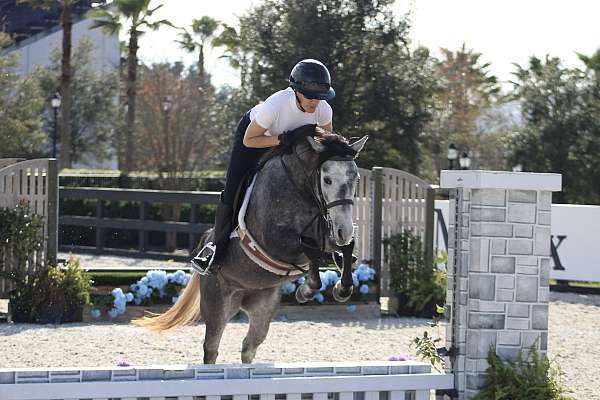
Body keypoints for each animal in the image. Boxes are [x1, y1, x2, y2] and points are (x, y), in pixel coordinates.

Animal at [135, 134, 368, 362]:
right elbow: (308, 248)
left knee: (249, 347)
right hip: (217, 304)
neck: (301, 189)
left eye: (355, 180)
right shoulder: (277, 243)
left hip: (263, 307)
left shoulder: (328, 232)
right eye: (327, 180)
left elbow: (345, 247)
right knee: (211, 348)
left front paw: (341, 287)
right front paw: (306, 290)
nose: (344, 230)